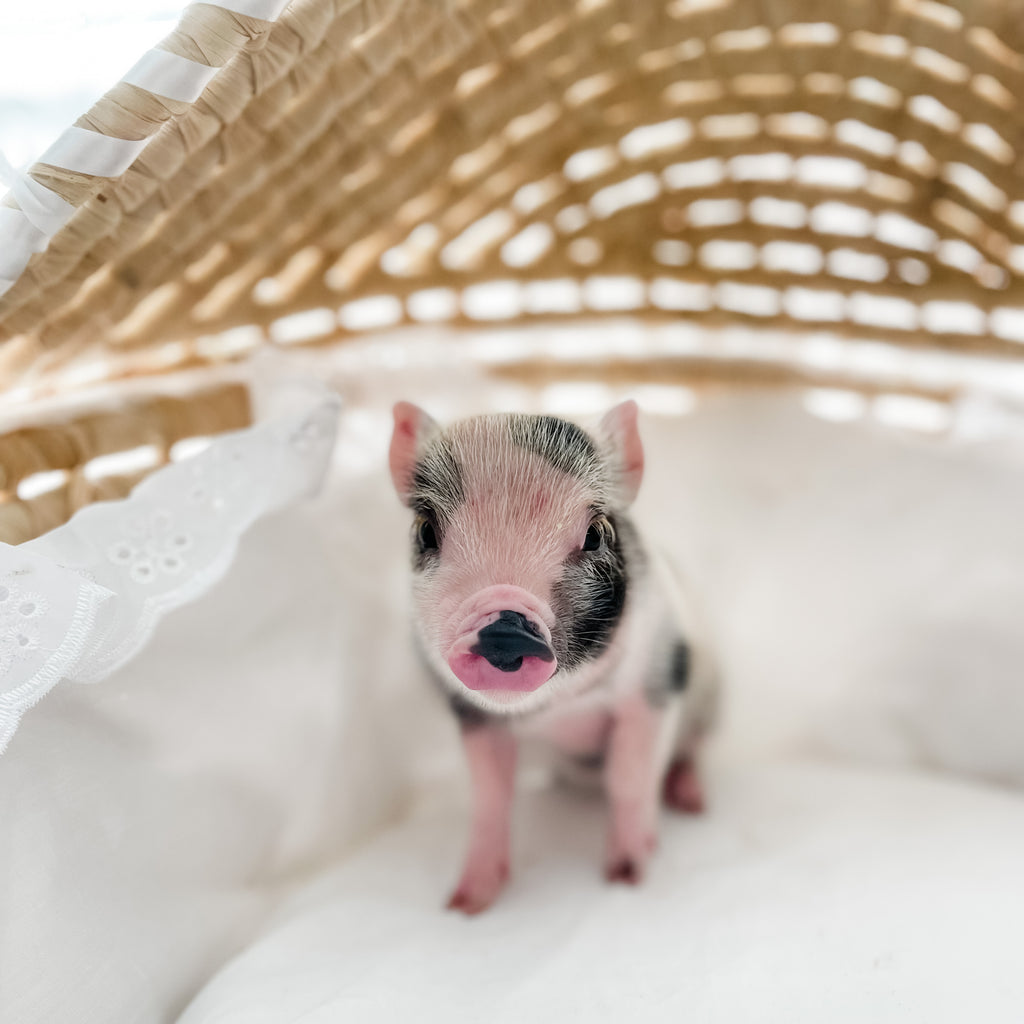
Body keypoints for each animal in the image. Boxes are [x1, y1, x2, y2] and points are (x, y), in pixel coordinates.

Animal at [389, 400, 717, 914]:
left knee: (691, 752)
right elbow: (491, 799)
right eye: (426, 530)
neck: (560, 712)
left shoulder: (655, 680)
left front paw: (626, 879)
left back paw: (692, 803)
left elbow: (630, 777)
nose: (505, 628)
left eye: (595, 534)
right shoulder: (474, 717)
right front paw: (465, 906)